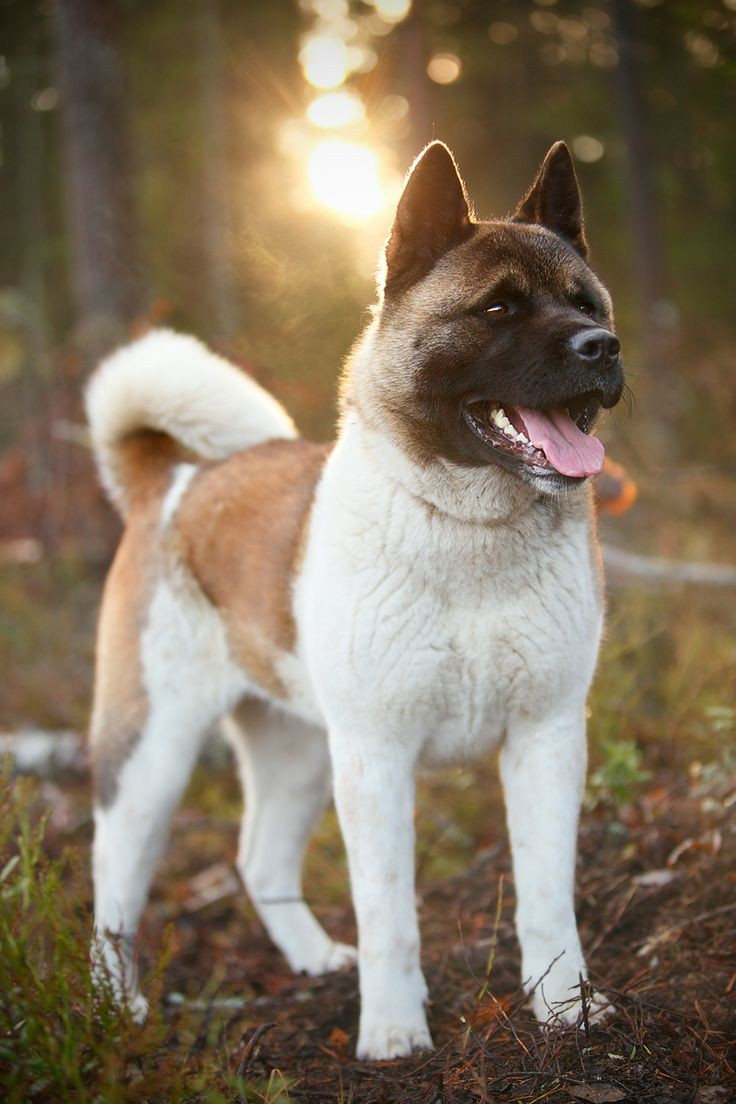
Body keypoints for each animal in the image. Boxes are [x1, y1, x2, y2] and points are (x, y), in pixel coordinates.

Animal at [89, 142, 626, 1055]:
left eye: (584, 303)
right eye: (498, 308)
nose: (604, 345)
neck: (467, 532)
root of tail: (173, 480)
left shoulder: (546, 737)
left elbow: (548, 896)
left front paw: (566, 1010)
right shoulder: (377, 757)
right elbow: (388, 912)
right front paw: (395, 1033)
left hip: (301, 749)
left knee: (260, 860)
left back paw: (310, 958)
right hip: (151, 755)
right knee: (114, 880)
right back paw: (113, 1006)